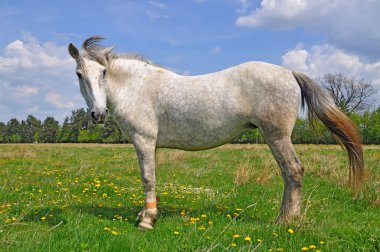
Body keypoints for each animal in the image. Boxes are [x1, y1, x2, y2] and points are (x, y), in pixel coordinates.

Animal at [69, 36, 366, 230]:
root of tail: (289, 72)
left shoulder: (144, 140)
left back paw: (284, 221)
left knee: (293, 171)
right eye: (79, 74)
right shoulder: (150, 145)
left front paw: (147, 220)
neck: (138, 87)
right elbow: (151, 177)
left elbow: (147, 178)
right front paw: (145, 213)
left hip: (277, 136)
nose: (98, 114)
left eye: (104, 72)